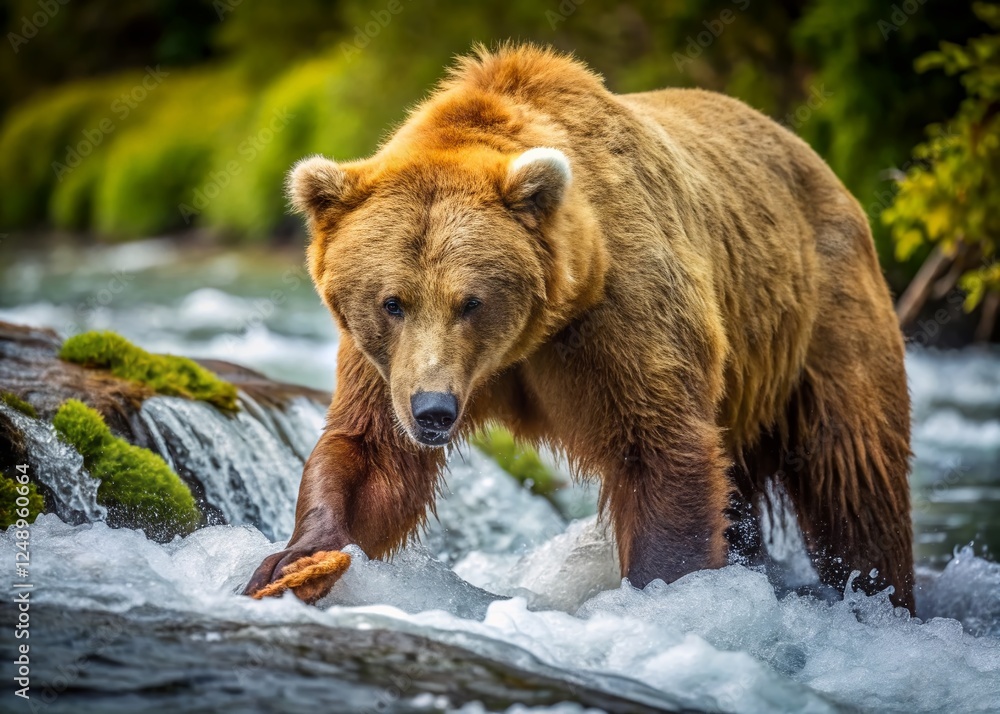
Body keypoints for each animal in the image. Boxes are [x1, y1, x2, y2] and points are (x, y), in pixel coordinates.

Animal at [245, 44, 914, 611]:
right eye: (392, 302)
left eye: (471, 301)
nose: (433, 410)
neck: (532, 335)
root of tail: (814, 159)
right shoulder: (386, 364)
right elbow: (371, 452)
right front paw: (294, 560)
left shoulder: (620, 317)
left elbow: (661, 450)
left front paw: (665, 593)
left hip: (823, 314)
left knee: (855, 475)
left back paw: (880, 594)